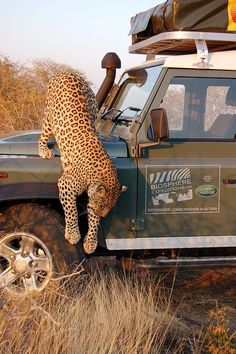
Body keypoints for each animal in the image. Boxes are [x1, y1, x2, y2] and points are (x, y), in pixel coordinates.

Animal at [38, 72, 126, 254]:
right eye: (103, 204)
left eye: (111, 206)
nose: (104, 215)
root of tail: (68, 72)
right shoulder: (66, 185)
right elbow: (71, 210)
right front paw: (73, 234)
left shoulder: (91, 199)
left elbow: (93, 221)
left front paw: (90, 242)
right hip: (50, 116)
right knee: (43, 133)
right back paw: (44, 150)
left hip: (93, 109)